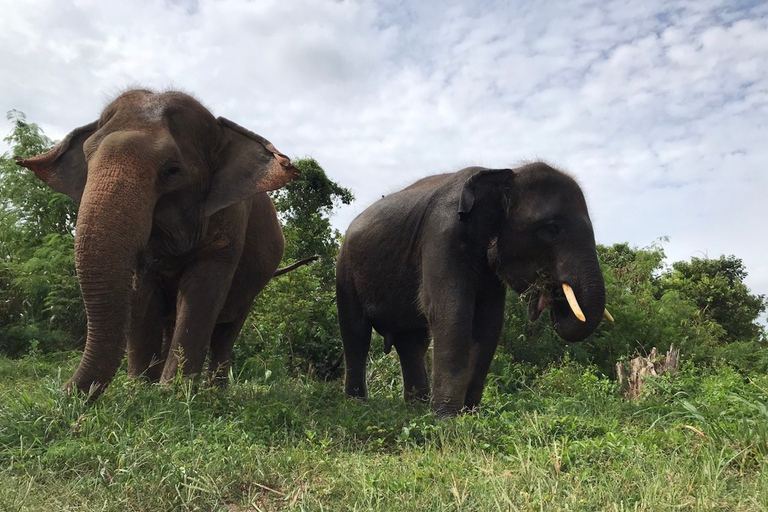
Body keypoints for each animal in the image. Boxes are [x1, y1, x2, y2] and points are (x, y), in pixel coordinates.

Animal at [15, 90, 296, 398]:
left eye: (172, 171)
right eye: (87, 161)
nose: (59, 394)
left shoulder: (230, 225)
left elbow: (201, 293)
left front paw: (172, 395)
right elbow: (144, 295)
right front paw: (142, 391)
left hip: (257, 283)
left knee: (227, 330)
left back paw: (214, 393)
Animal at [340, 162, 608, 418]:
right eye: (552, 228)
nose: (548, 292)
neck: (505, 173)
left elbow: (489, 322)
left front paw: (469, 415)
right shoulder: (441, 233)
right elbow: (450, 311)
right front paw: (447, 420)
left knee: (411, 342)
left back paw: (415, 408)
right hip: (345, 269)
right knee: (356, 335)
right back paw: (356, 405)